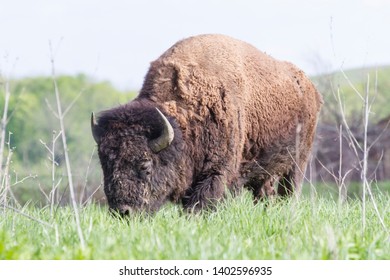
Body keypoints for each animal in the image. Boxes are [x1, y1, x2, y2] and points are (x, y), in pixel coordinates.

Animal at [91, 34, 322, 214]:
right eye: (105, 164)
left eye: (145, 165)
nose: (123, 212)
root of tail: (310, 86)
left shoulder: (217, 172)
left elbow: (201, 204)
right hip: (265, 167)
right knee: (265, 192)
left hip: (298, 161)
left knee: (289, 189)